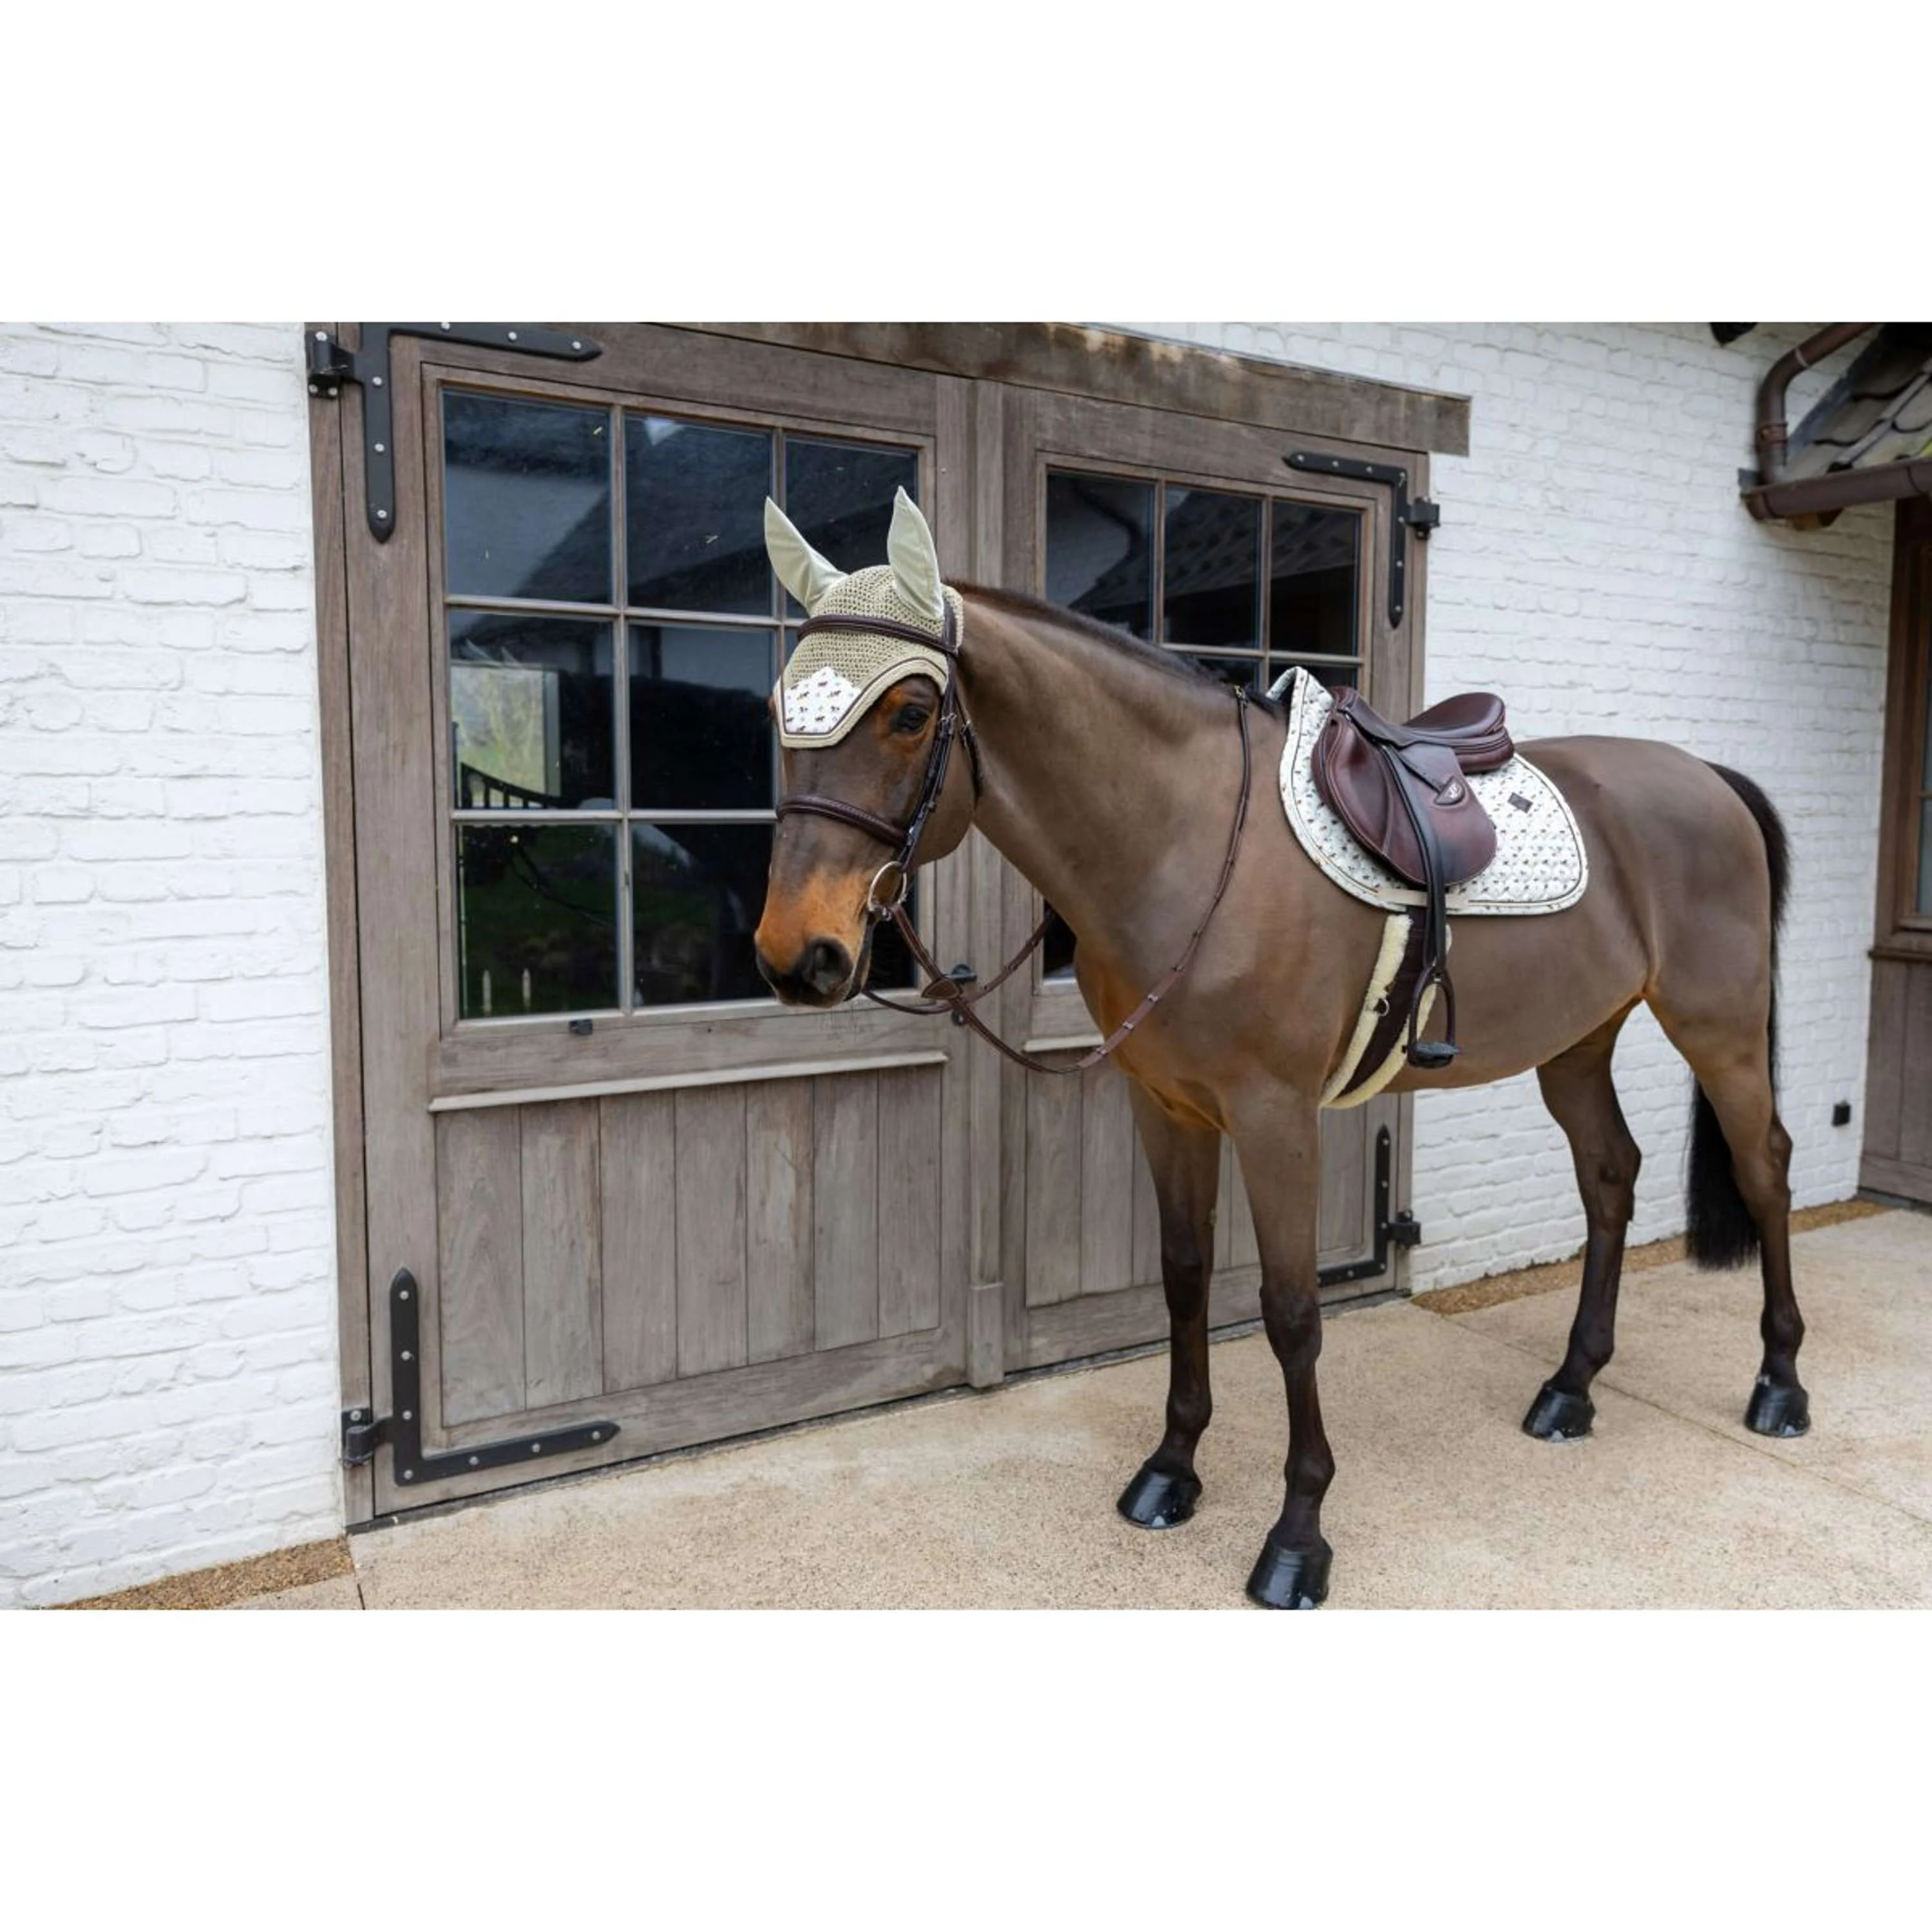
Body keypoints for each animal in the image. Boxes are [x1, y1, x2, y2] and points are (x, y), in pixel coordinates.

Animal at [753, 490, 1801, 1609]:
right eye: (778, 708)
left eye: (910, 713)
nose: (798, 955)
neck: (1184, 837)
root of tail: (1709, 777)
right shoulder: (1164, 1105)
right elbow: (1182, 1277)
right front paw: (1171, 1472)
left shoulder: (1274, 1117)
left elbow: (1292, 1312)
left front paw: (1299, 1538)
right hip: (1576, 1041)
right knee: (1611, 1176)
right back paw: (1571, 1389)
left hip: (1720, 1030)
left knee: (1766, 1169)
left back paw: (1780, 1385)